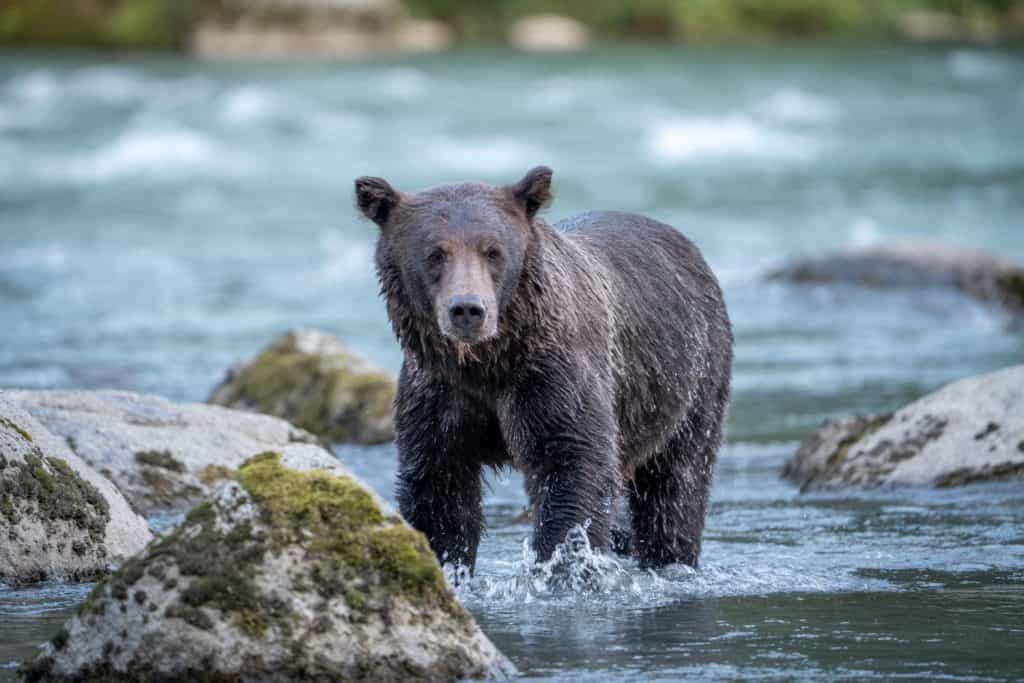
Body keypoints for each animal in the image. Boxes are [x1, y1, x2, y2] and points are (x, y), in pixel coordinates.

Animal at [354, 166, 732, 572]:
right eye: (435, 253)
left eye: (493, 251)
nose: (468, 309)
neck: (487, 364)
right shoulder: (438, 394)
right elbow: (439, 493)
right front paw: (445, 563)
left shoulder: (552, 377)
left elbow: (573, 467)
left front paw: (560, 564)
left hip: (689, 378)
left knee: (676, 486)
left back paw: (670, 555)